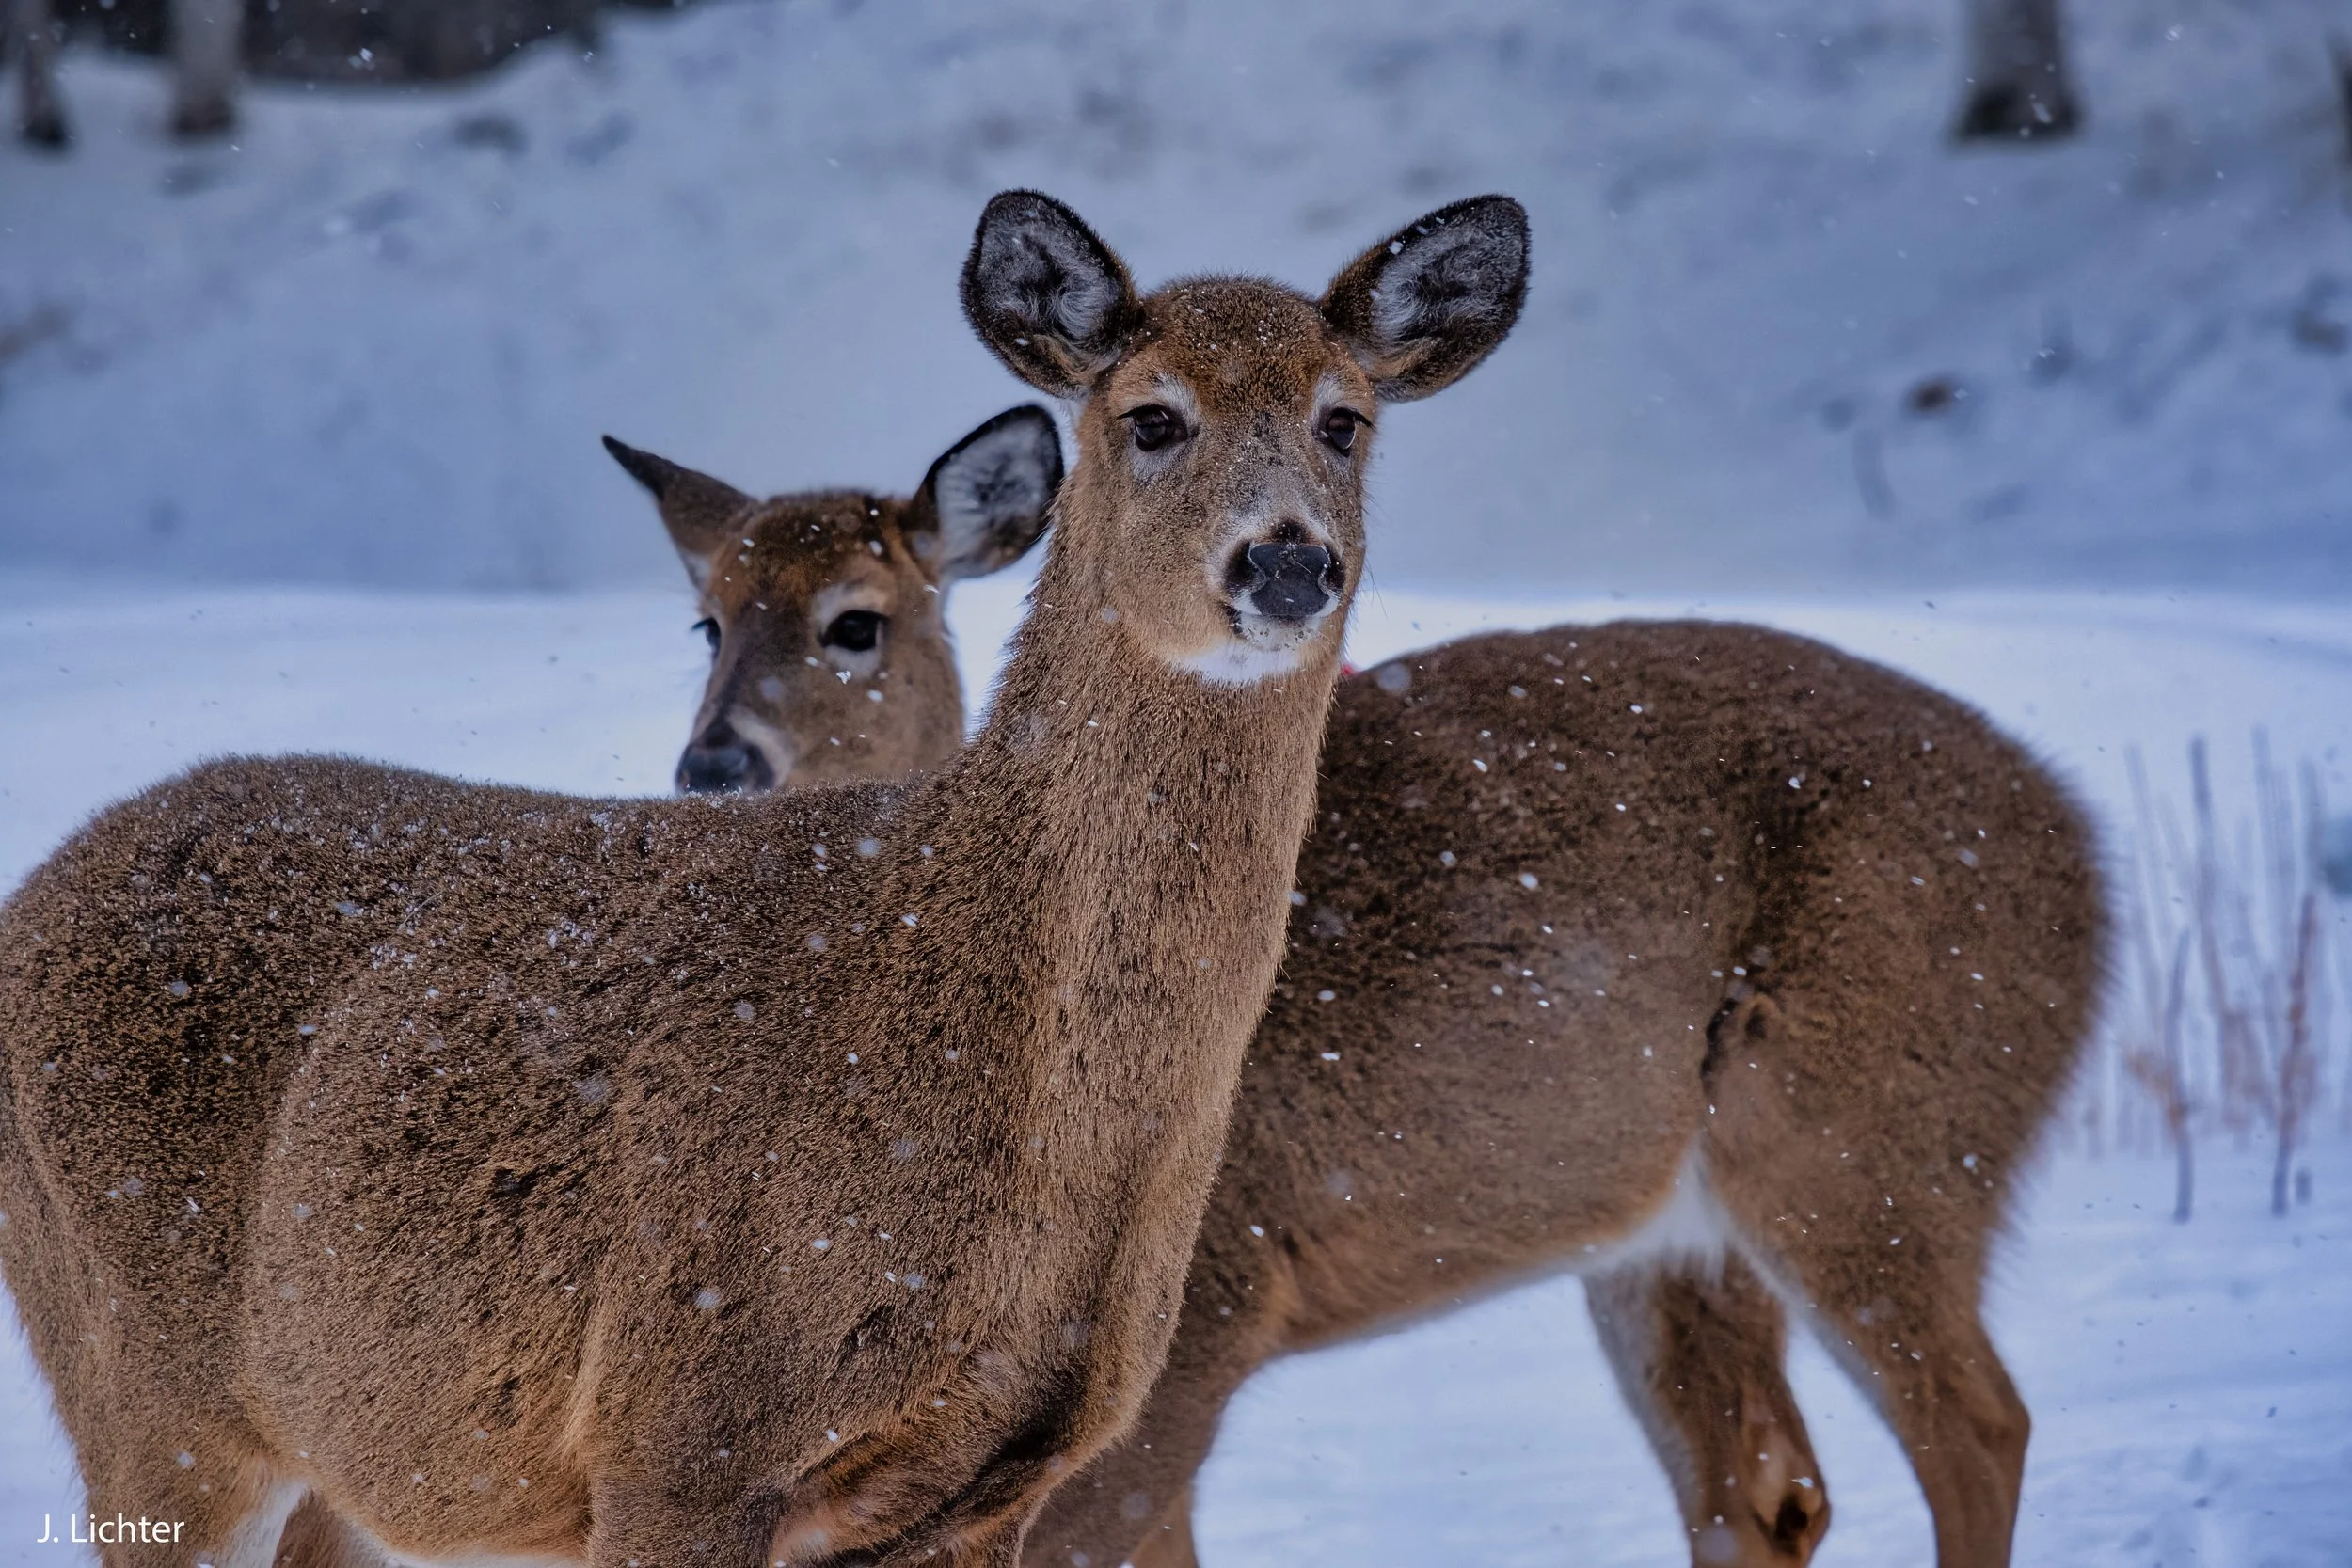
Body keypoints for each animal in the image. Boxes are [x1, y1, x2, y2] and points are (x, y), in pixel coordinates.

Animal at [0, 188, 1532, 1568]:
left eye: (1347, 419)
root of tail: (37, 883)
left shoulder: (989, 1488)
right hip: (144, 1392)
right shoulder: (677, 1428)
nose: (1286, 559)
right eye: (1151, 416)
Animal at [634, 475, 2106, 1568]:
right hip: (1671, 1239)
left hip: (1874, 1142)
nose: (713, 763)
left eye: (857, 621)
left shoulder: (1205, 1315)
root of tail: (2088, 858)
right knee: (1767, 1489)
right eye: (705, 618)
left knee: (1979, 1423)